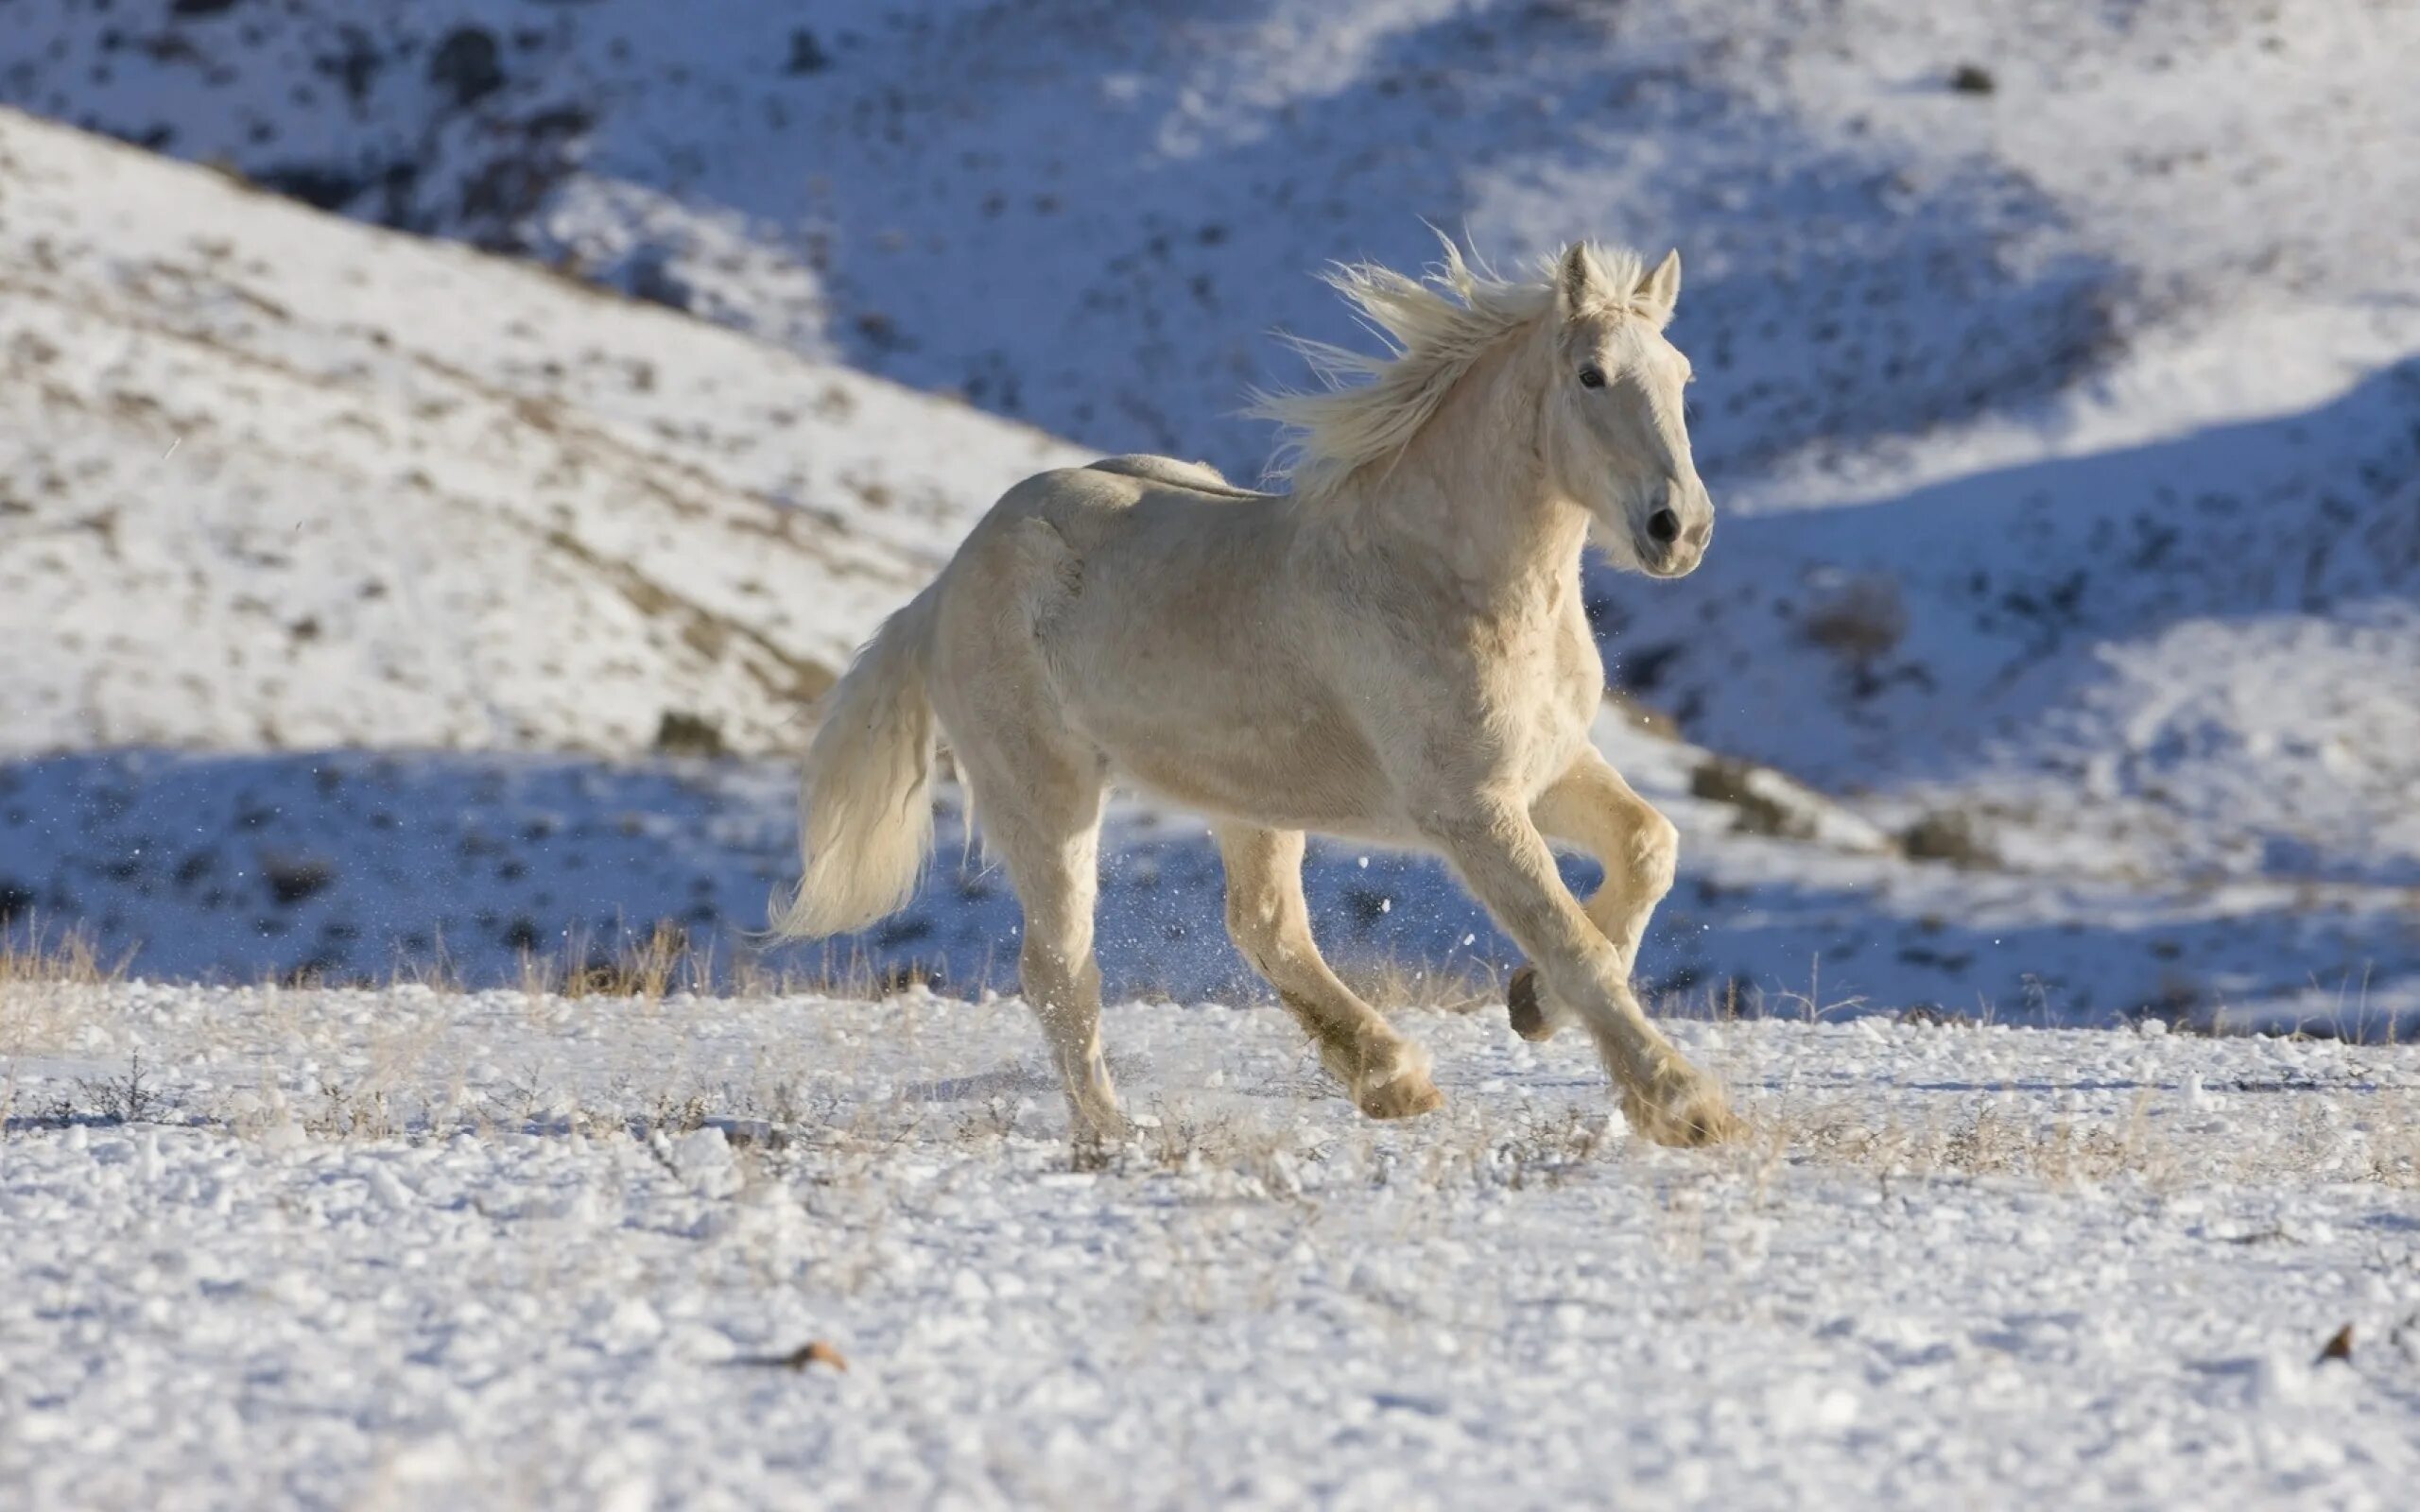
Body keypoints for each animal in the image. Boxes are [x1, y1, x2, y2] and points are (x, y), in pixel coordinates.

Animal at [774, 235, 1742, 1142]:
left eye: (1681, 375)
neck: (1443, 576)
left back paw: (1392, 1080)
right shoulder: (1470, 808)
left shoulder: (1546, 766)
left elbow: (1648, 849)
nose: (1680, 529)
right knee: (1059, 969)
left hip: (1250, 797)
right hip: (1043, 794)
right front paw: (1684, 1105)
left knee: (1264, 924)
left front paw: (1532, 1005)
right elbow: (1570, 937)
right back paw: (1112, 1137)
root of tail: (942, 586)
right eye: (1591, 374)